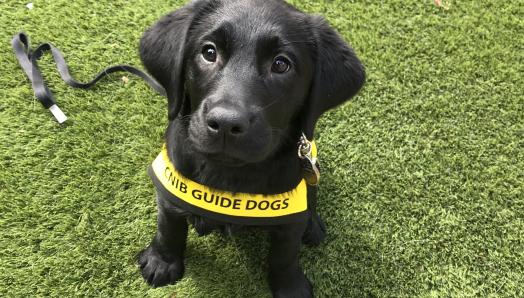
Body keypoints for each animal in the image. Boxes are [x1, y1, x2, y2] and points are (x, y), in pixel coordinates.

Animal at [138, 0, 364, 296]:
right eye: (209, 52)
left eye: (281, 64)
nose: (225, 123)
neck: (231, 173)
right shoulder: (171, 185)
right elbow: (168, 226)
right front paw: (162, 261)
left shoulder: (290, 213)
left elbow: (285, 254)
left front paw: (290, 286)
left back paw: (312, 225)